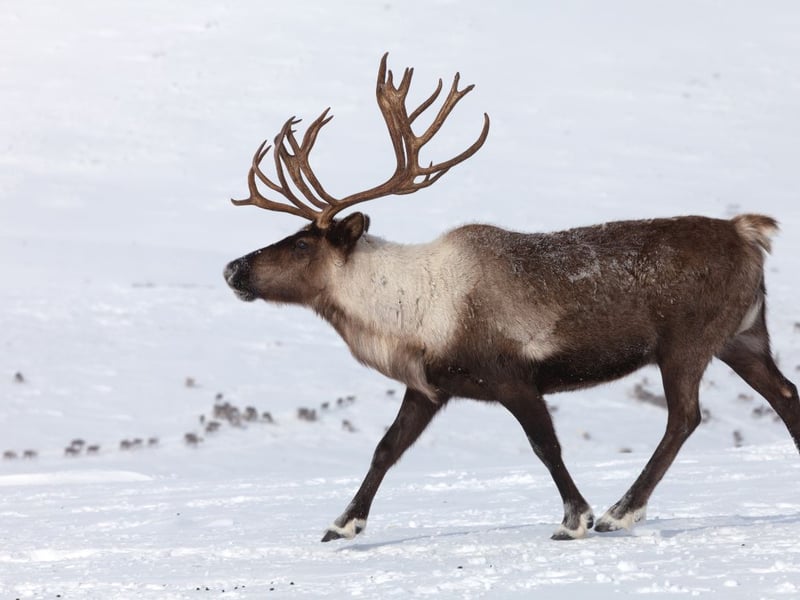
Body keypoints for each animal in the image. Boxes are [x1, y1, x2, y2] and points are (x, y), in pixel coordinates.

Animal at [224, 54, 799, 542]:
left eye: (302, 244)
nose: (233, 269)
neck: (405, 309)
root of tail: (747, 232)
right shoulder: (431, 386)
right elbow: (386, 448)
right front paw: (342, 525)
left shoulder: (513, 376)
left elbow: (545, 445)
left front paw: (575, 519)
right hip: (744, 336)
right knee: (785, 393)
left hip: (686, 342)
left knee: (684, 417)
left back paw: (621, 511)